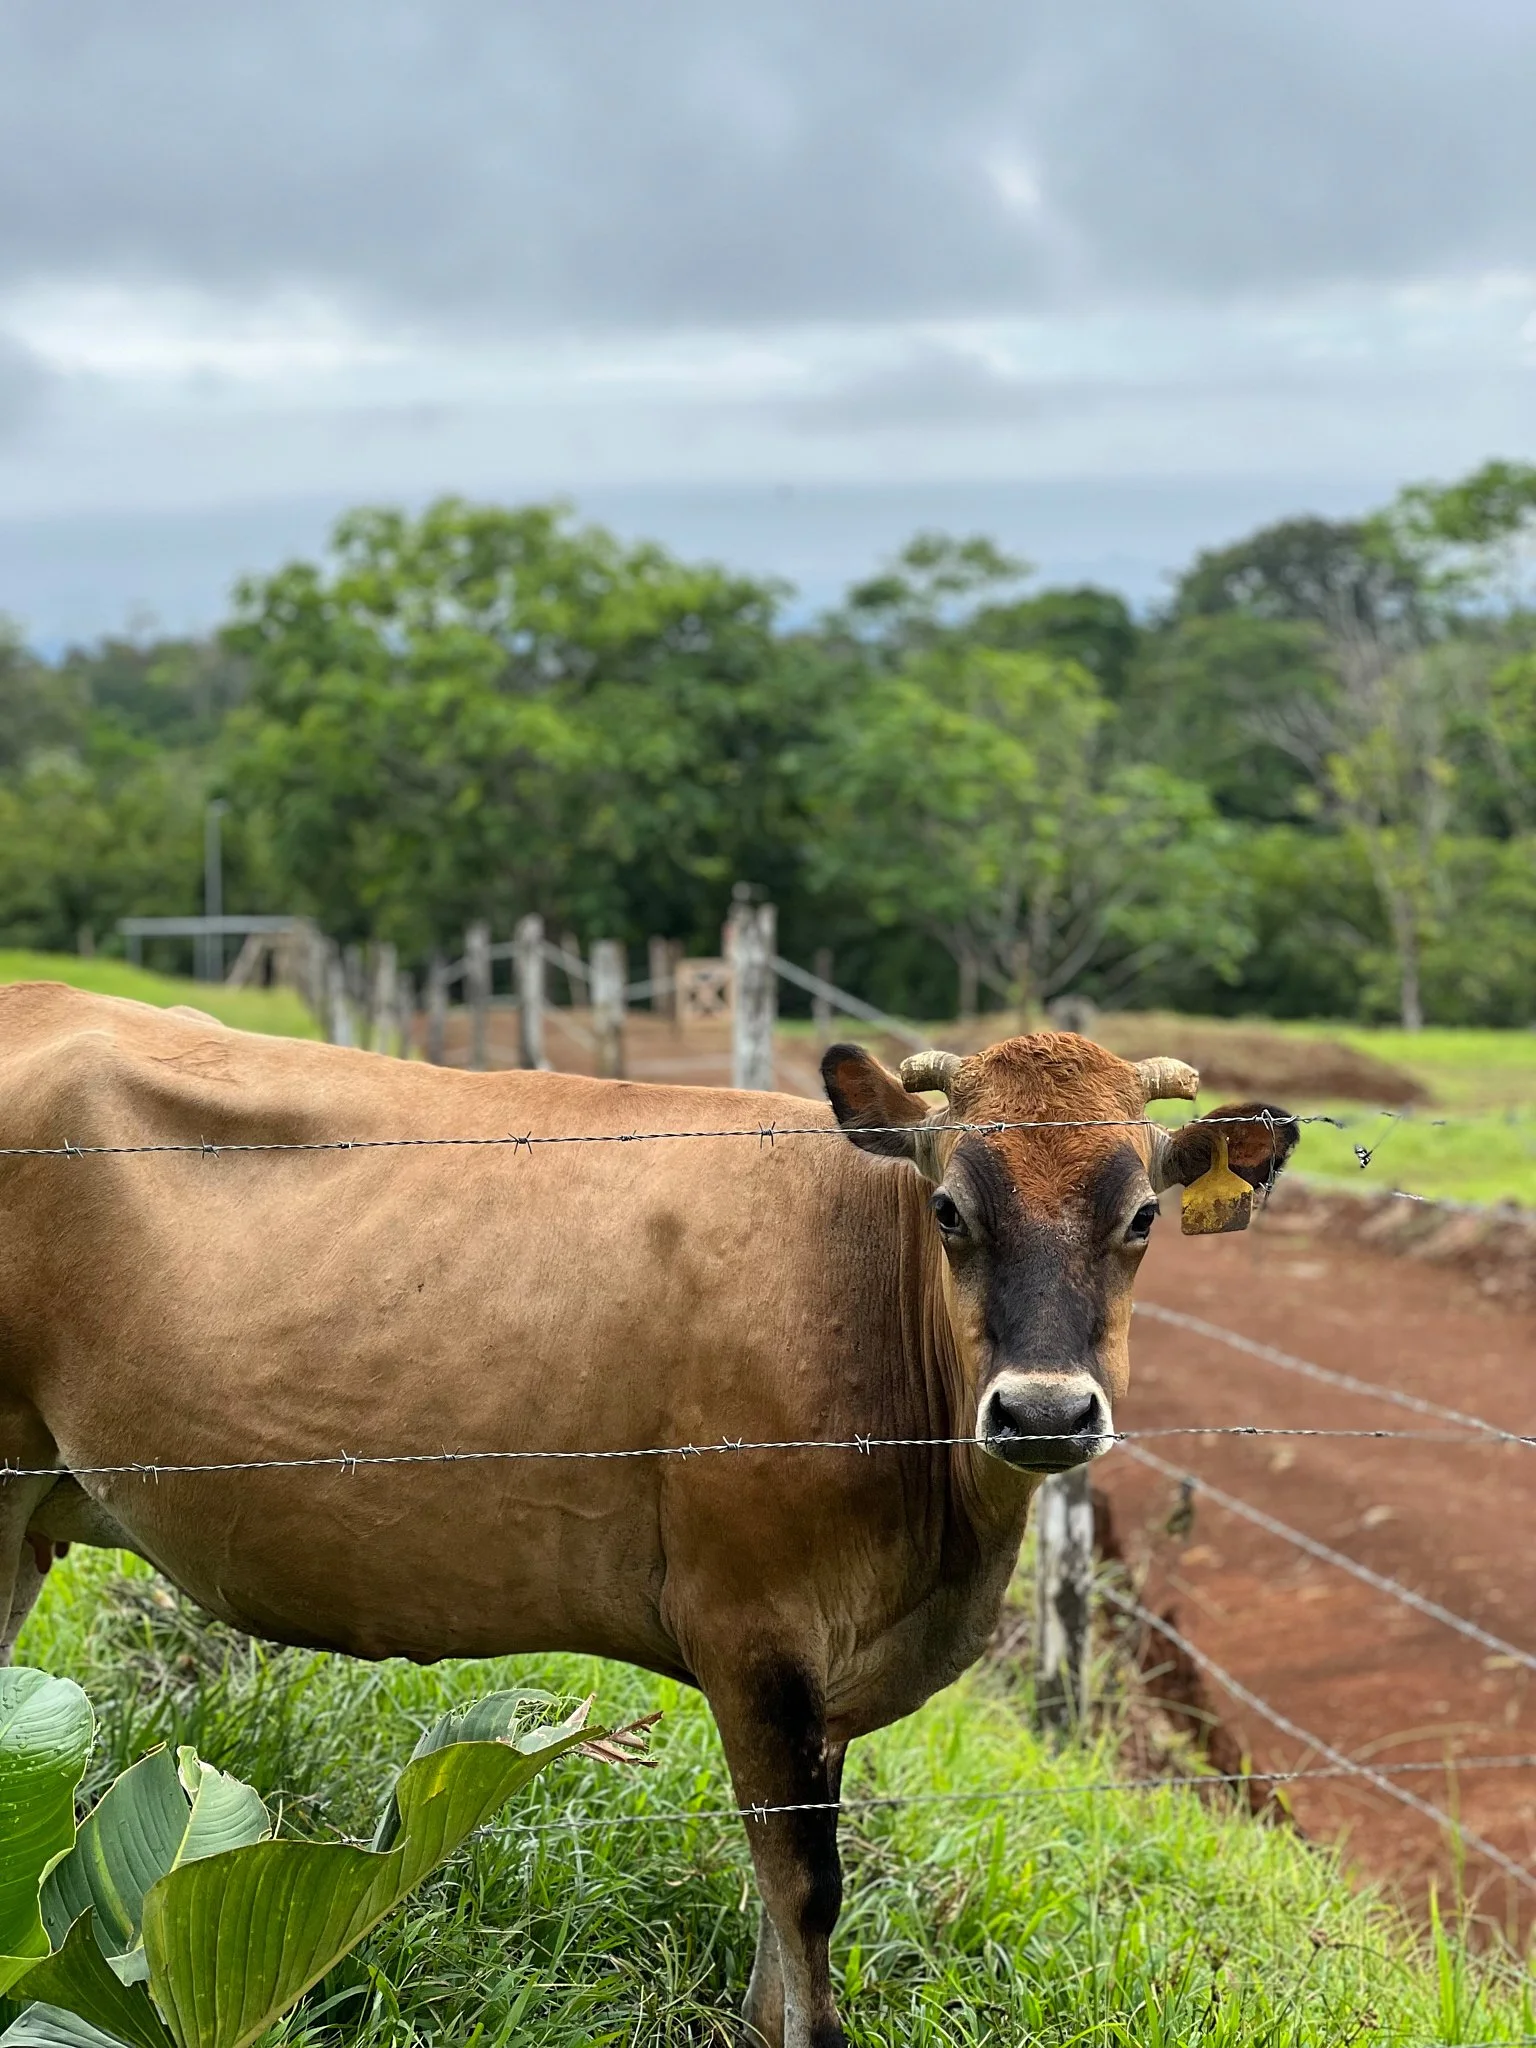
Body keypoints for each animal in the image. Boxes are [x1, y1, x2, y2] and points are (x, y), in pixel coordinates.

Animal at [0, 983, 1298, 2048]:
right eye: (946, 1207)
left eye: (1140, 1217)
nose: (1042, 1409)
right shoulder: (753, 1626)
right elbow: (808, 1891)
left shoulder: (820, 1674)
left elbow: (780, 1917)